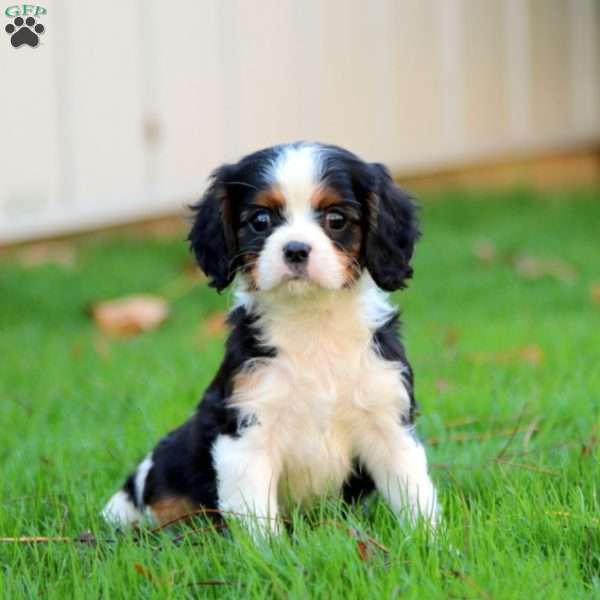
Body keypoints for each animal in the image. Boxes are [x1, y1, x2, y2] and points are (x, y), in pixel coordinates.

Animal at [103, 142, 438, 536]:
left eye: (336, 219)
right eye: (261, 221)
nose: (295, 249)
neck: (312, 322)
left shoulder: (388, 420)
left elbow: (414, 493)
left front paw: (431, 542)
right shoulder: (247, 431)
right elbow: (258, 519)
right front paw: (269, 549)